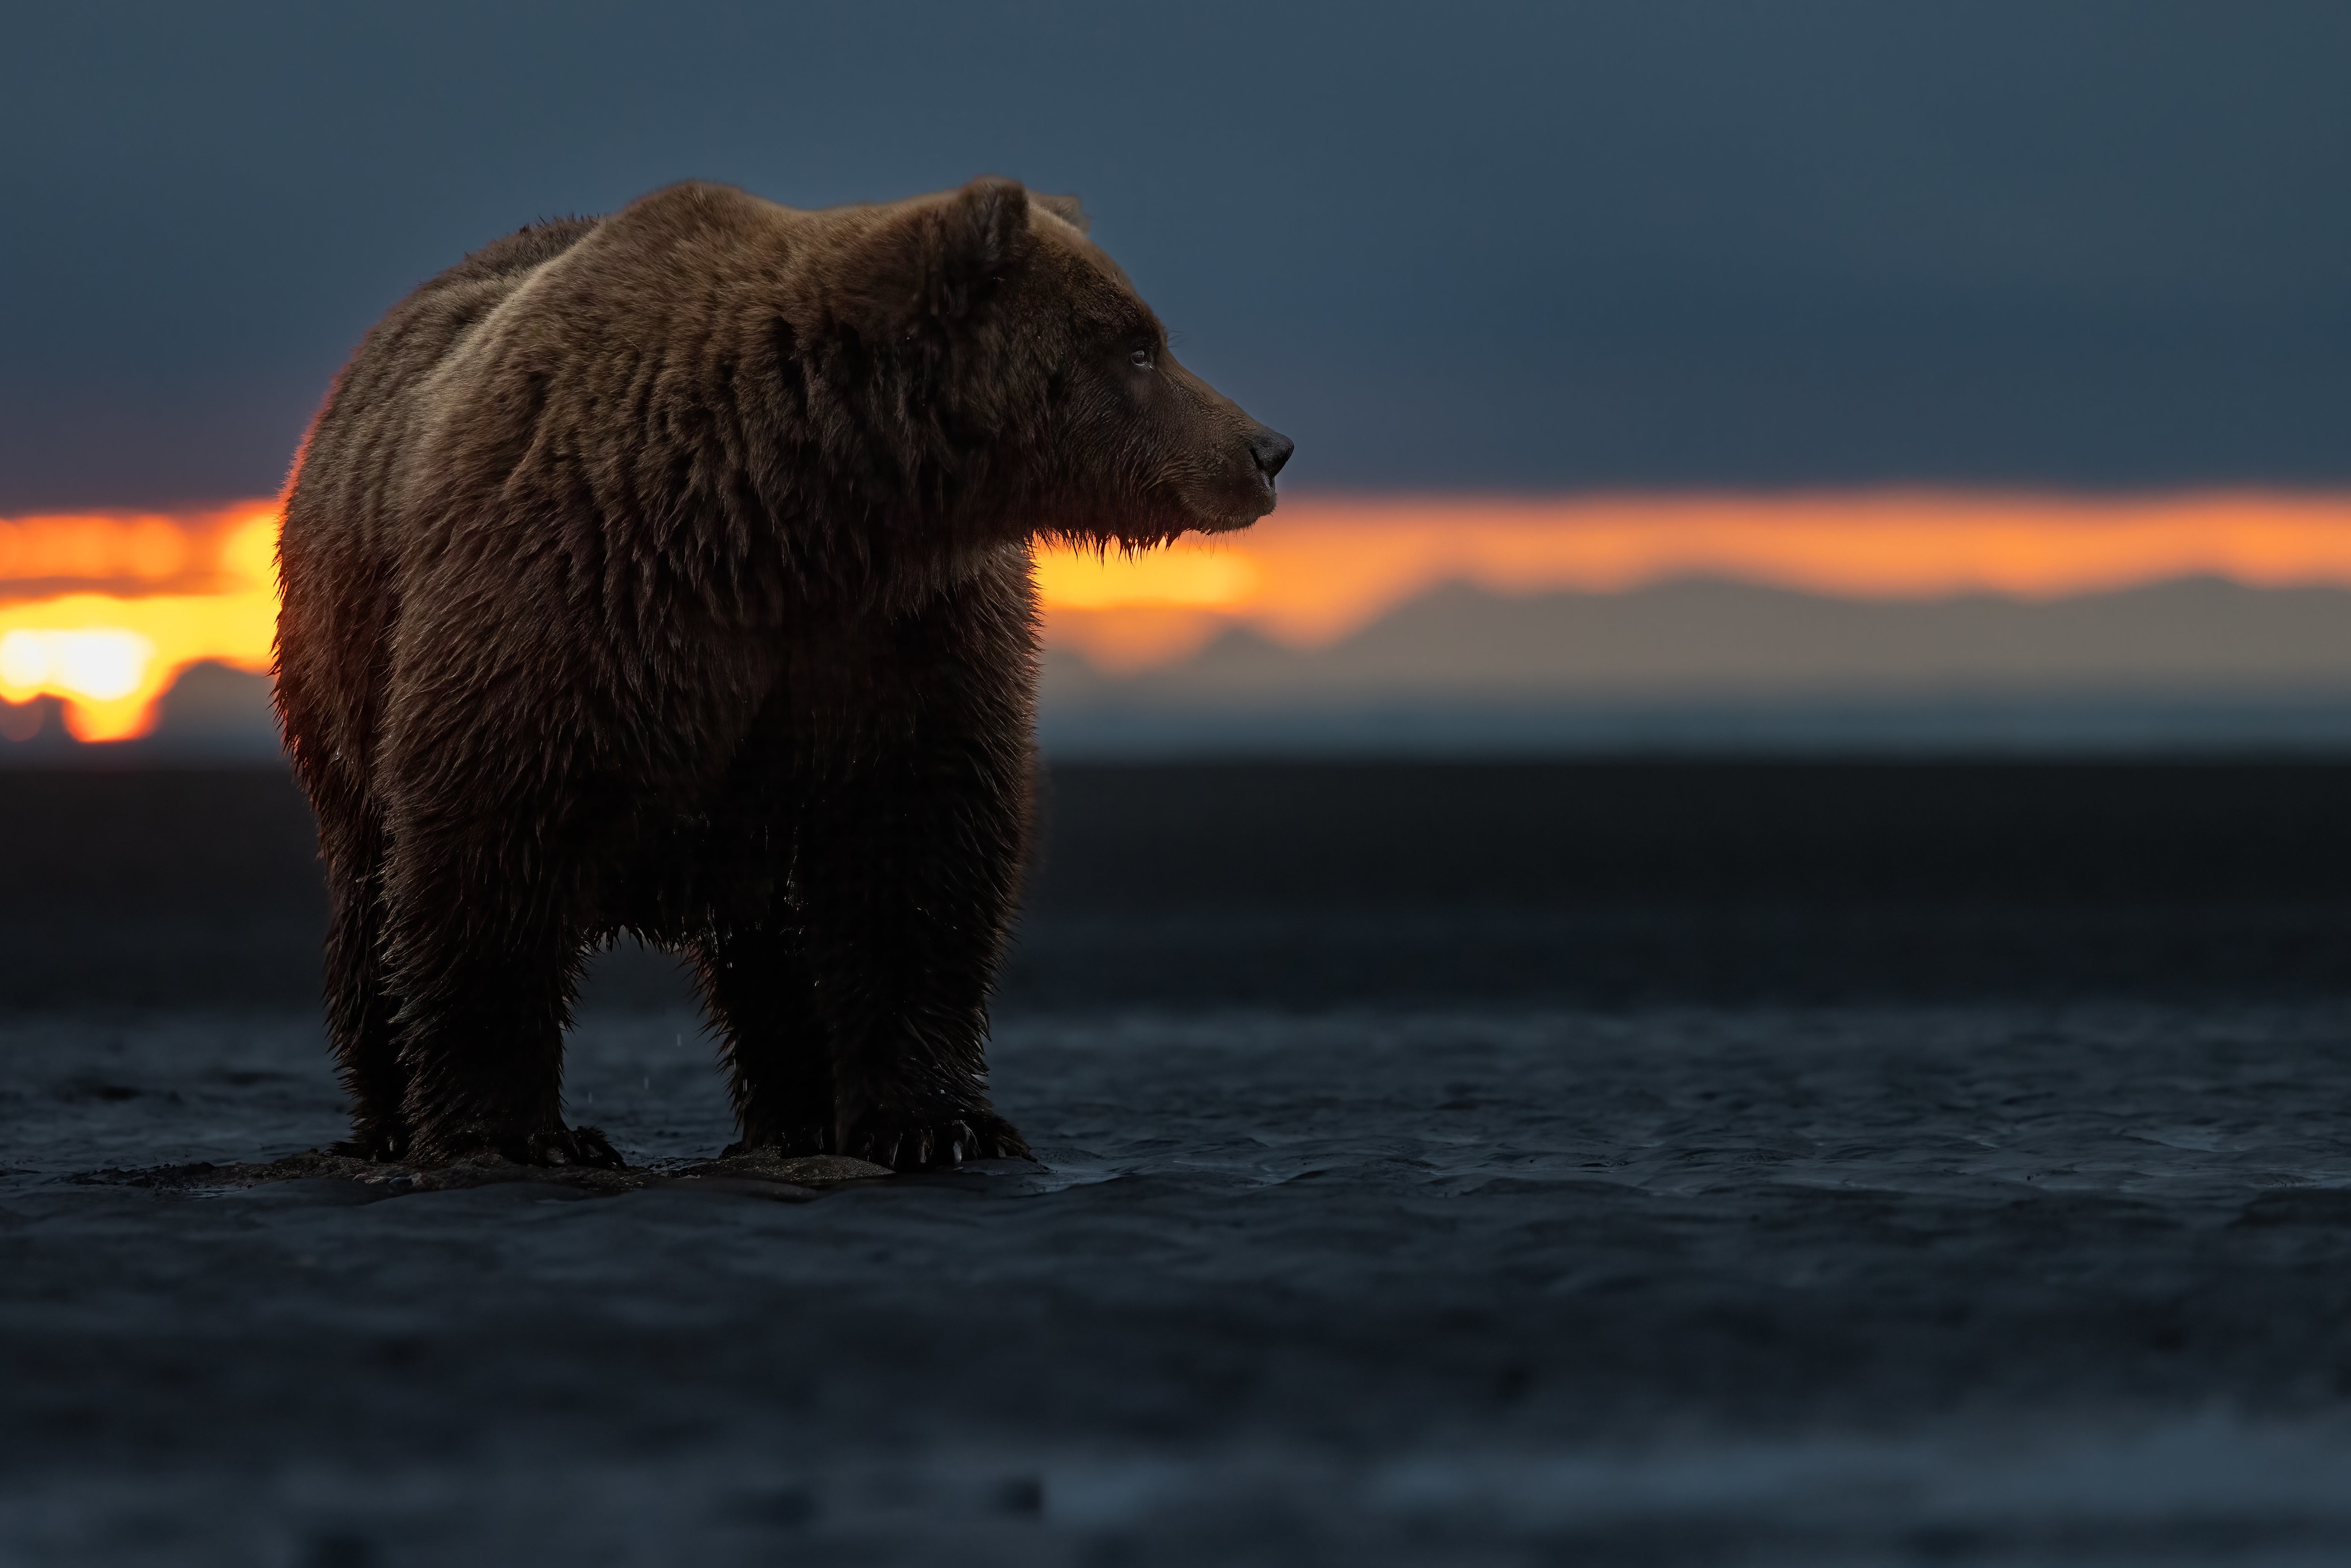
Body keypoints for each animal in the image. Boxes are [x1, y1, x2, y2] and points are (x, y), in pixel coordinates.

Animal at [273, 177, 1290, 1172]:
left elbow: (915, 853)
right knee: (369, 895)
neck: (792, 523)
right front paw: (520, 1133)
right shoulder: (572, 590)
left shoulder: (899, 640)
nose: (1266, 449)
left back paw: (795, 1115)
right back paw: (389, 1114)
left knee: (768, 942)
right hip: (339, 676)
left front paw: (938, 1123)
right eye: (1138, 346)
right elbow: (493, 837)